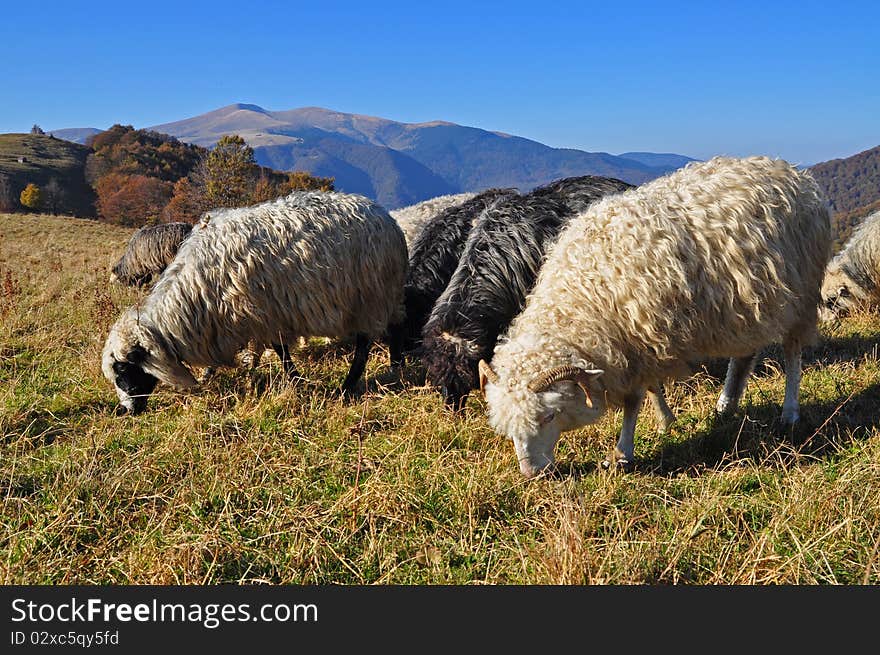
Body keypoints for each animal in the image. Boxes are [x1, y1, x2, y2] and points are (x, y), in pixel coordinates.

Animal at [103, 191, 410, 416]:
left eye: (122, 370)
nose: (126, 411)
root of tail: (384, 216)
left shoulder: (264, 314)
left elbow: (281, 351)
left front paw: (295, 380)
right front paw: (219, 374)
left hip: (369, 297)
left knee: (364, 346)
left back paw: (348, 387)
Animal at [482, 156, 832, 480]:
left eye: (549, 416)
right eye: (509, 427)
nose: (531, 473)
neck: (584, 291)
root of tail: (793, 172)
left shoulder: (641, 336)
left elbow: (633, 400)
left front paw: (624, 452)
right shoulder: (640, 340)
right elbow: (652, 388)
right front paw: (666, 420)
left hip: (801, 292)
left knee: (792, 352)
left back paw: (789, 413)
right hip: (748, 301)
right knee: (745, 353)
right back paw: (726, 404)